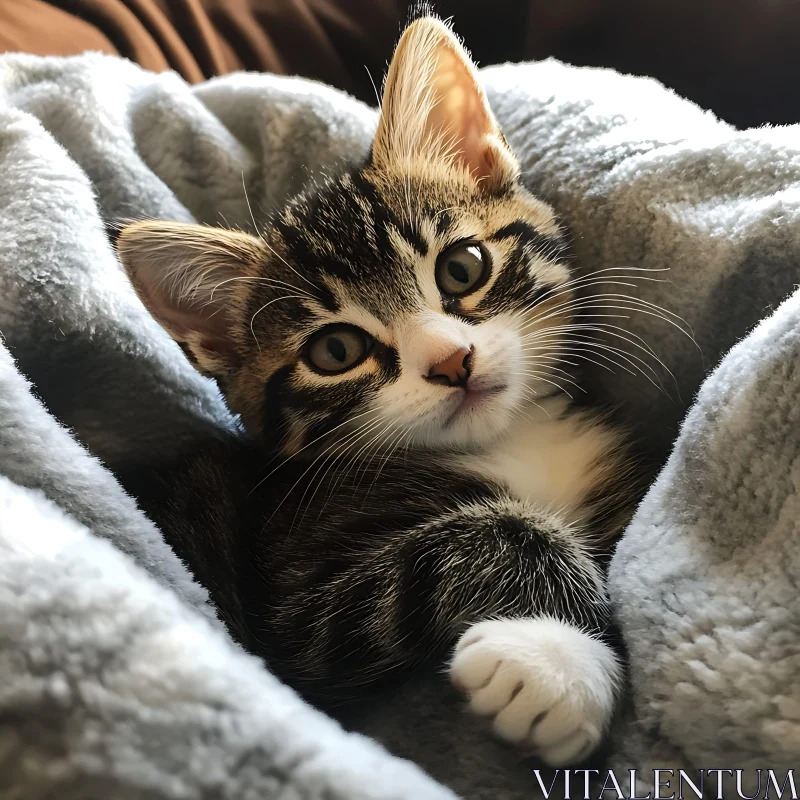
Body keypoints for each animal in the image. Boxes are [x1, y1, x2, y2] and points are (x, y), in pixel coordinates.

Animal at [115, 15, 636, 764]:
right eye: (336, 351)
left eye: (462, 267)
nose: (452, 362)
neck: (509, 439)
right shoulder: (297, 611)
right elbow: (483, 537)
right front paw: (556, 667)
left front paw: (557, 663)